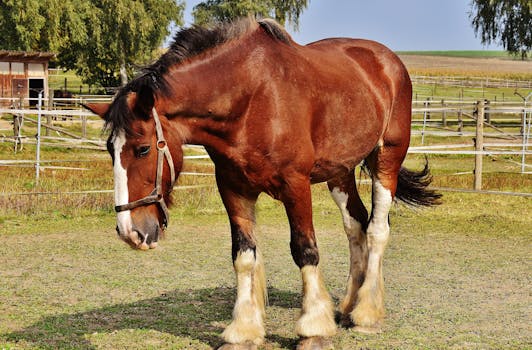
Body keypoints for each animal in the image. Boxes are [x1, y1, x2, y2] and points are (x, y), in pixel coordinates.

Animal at [86, 19, 440, 350]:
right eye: (111, 149)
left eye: (143, 148)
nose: (130, 231)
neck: (251, 99)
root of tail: (387, 61)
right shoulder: (233, 188)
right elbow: (244, 256)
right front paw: (243, 330)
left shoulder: (295, 185)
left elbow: (305, 250)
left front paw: (313, 328)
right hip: (340, 172)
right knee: (356, 225)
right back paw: (348, 306)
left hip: (386, 159)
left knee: (377, 229)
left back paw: (366, 313)